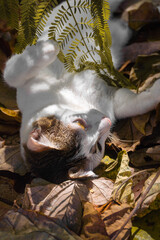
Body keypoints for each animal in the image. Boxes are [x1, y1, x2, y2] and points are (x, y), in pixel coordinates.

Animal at [2, 0, 160, 183]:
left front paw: (48, 48)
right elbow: (138, 103)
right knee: (123, 25)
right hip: (120, 31)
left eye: (79, 123)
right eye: (96, 147)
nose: (106, 121)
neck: (77, 99)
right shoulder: (113, 101)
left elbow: (12, 75)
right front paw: (157, 89)